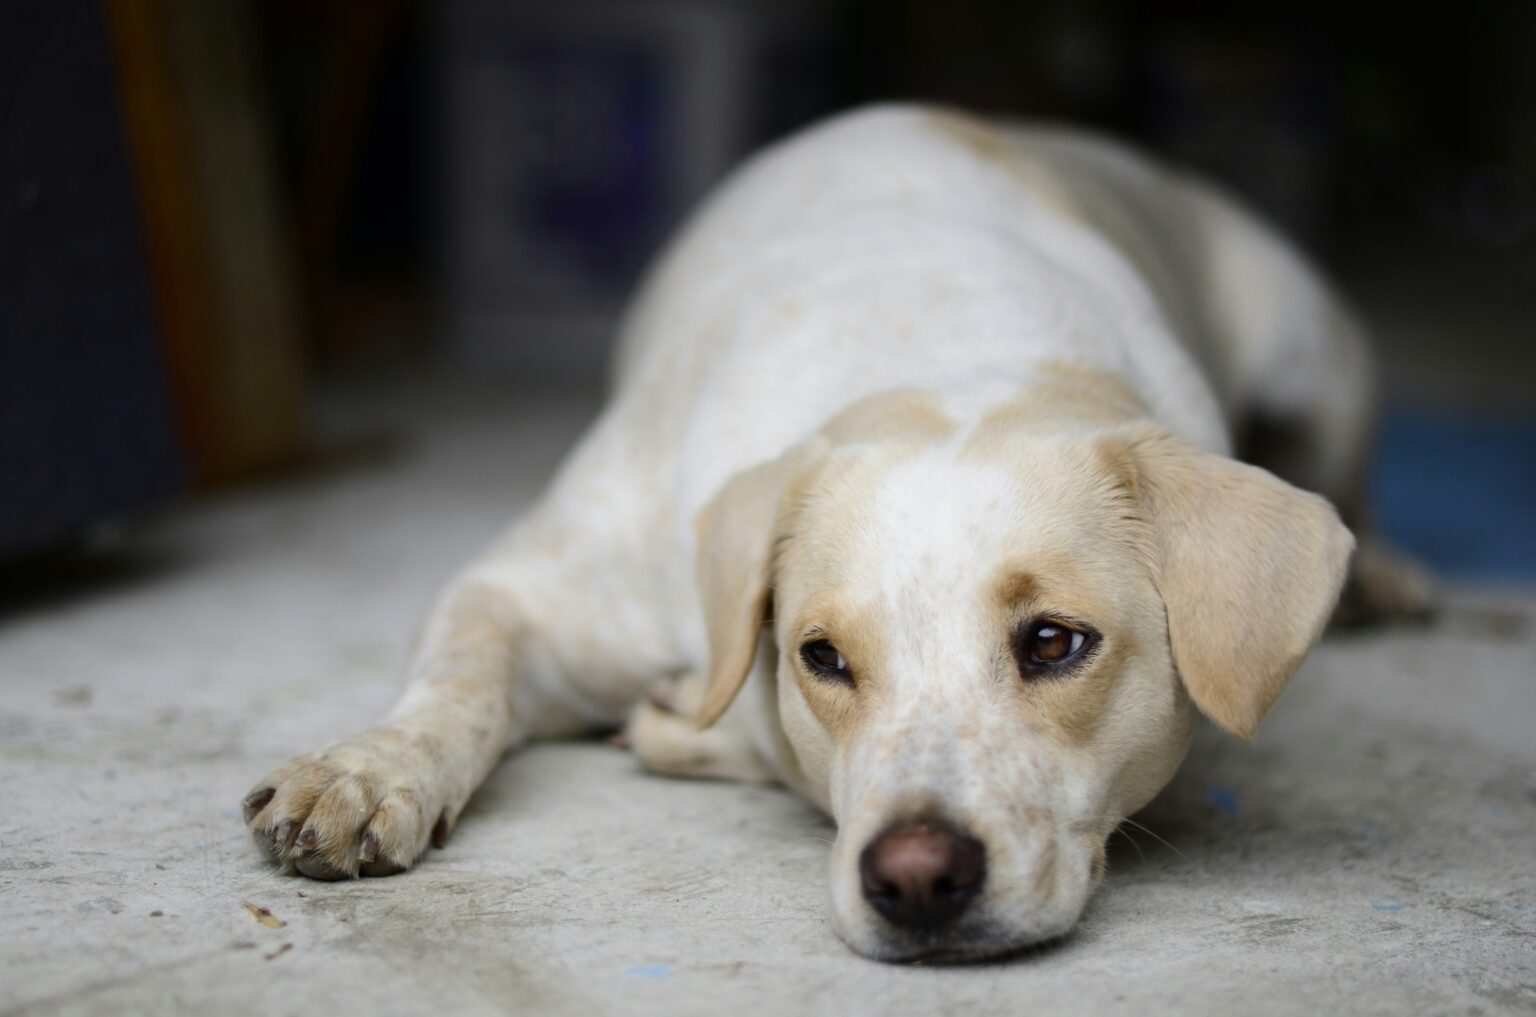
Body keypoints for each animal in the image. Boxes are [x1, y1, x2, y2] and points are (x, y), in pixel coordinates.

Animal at [236, 107, 1425, 970]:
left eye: (1054, 642)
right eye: (822, 657)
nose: (916, 878)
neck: (948, 350)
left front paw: (688, 723)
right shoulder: (526, 590)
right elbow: (458, 683)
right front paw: (367, 771)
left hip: (1319, 362)